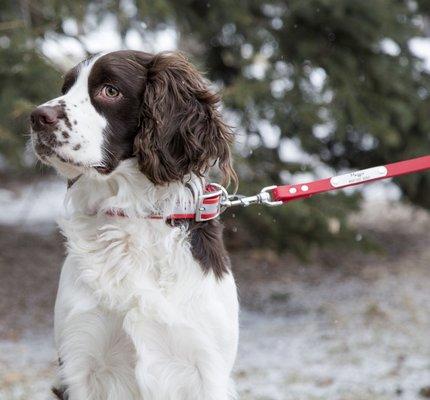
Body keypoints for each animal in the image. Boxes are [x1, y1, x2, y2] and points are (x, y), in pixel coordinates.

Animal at [29, 50, 239, 400]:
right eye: (66, 87)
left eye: (110, 90)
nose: (36, 117)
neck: (133, 217)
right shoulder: (80, 360)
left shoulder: (206, 365)